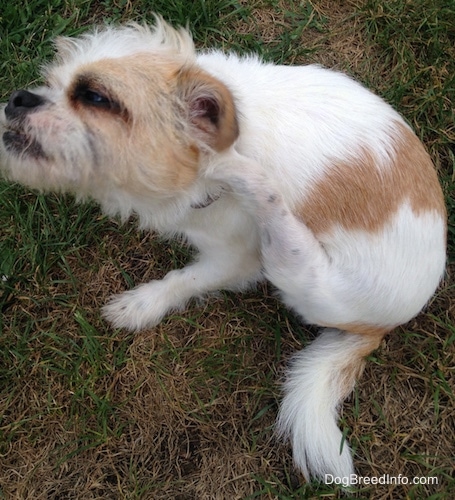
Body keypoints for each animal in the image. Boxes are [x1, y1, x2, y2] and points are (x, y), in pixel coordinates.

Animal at [0, 17, 448, 482]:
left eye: (95, 98)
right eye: (51, 82)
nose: (19, 98)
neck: (224, 139)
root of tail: (382, 328)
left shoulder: (235, 259)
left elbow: (185, 279)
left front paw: (142, 304)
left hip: (299, 270)